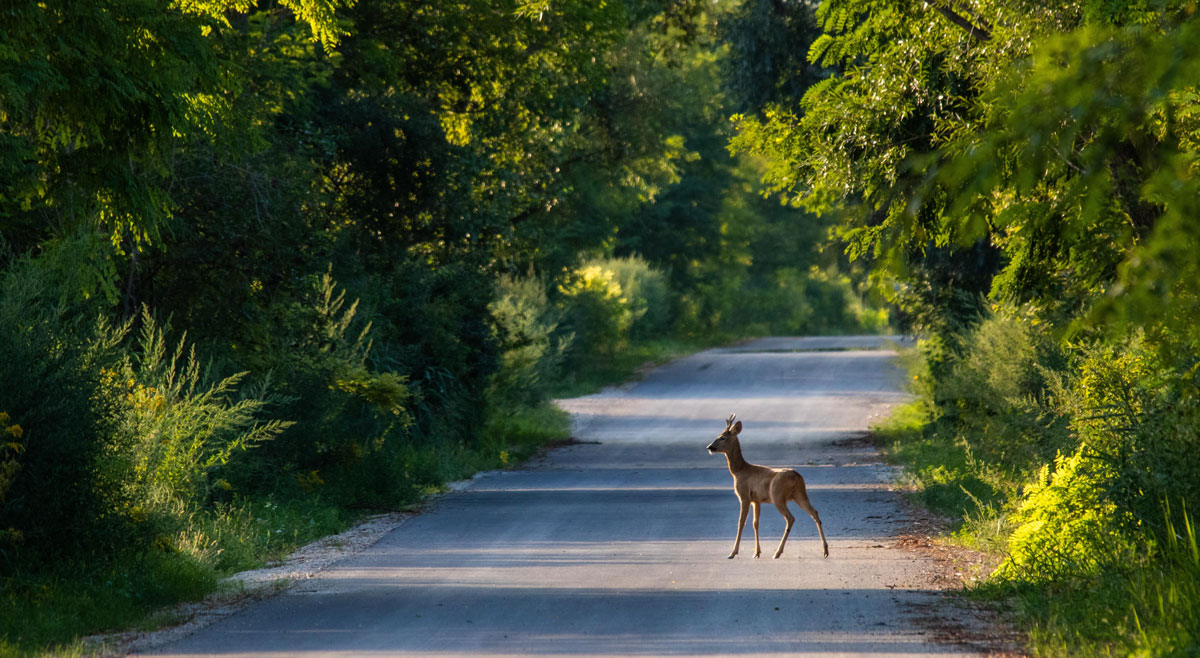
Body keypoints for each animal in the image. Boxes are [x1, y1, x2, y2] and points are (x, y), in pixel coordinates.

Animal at [705, 413, 830, 557]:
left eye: (722, 437)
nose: (709, 447)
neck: (739, 471)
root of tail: (796, 477)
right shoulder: (756, 500)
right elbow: (755, 523)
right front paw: (757, 552)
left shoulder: (744, 496)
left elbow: (741, 522)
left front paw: (733, 552)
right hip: (800, 494)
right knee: (814, 512)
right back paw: (825, 550)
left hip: (777, 496)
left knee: (790, 518)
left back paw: (777, 552)